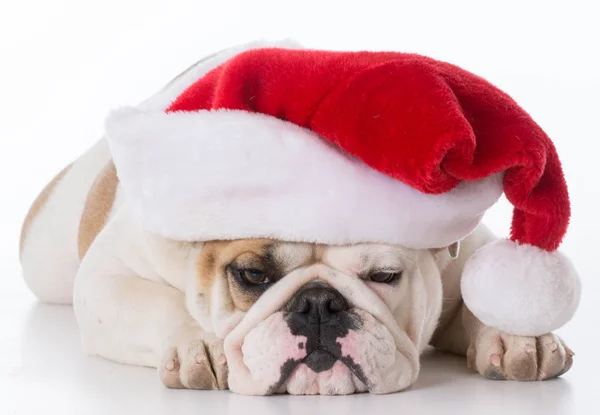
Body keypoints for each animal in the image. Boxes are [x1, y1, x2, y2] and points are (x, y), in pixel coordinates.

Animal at [17, 47, 572, 394]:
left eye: (385, 276)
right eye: (252, 275)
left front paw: (515, 335)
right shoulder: (107, 277)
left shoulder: (462, 258)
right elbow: (161, 304)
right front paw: (200, 343)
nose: (319, 304)